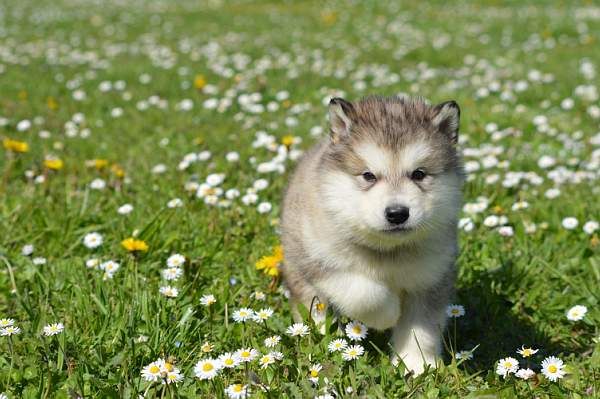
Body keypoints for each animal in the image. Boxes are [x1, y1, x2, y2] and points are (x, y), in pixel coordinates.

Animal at [282, 96, 464, 376]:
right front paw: (388, 315)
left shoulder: (430, 278)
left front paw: (415, 364)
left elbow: (421, 328)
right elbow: (365, 293)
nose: (397, 213)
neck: (388, 251)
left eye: (419, 174)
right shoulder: (321, 261)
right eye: (368, 175)